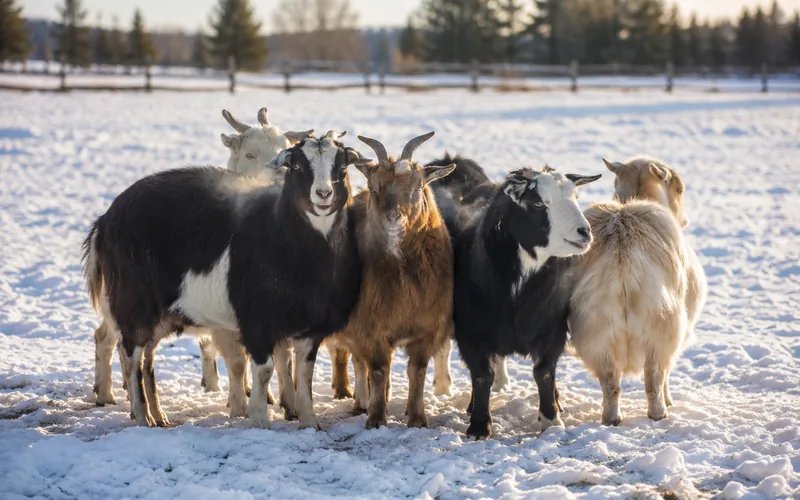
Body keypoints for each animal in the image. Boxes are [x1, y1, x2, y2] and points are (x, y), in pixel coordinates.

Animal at [83, 131, 370, 428]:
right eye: (297, 166)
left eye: (342, 167)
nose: (323, 194)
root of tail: (105, 221)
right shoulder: (256, 322)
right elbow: (264, 370)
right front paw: (259, 420)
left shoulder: (310, 328)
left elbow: (304, 374)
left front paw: (310, 422)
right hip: (133, 305)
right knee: (131, 356)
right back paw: (142, 416)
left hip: (160, 315)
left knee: (145, 359)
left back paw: (159, 416)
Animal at [333, 132, 455, 429]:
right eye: (375, 188)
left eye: (416, 188)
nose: (393, 217)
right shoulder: (370, 327)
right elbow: (378, 370)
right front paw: (377, 419)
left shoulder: (427, 328)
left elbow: (417, 372)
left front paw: (418, 418)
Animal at [449, 167, 601, 439]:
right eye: (538, 203)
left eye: (575, 197)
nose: (584, 232)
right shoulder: (470, 332)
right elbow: (482, 376)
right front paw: (479, 426)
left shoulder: (553, 329)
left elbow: (544, 373)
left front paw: (551, 419)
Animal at [568, 157, 707, 425]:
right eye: (680, 189)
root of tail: (623, 254)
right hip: (662, 330)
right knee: (654, 377)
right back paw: (659, 413)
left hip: (594, 335)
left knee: (610, 382)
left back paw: (611, 418)